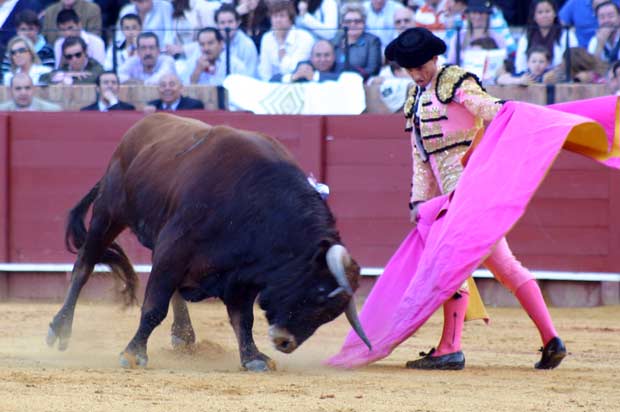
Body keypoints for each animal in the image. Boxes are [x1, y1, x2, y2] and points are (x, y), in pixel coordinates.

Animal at [48, 112, 370, 370]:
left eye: (331, 314)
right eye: (318, 292)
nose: (284, 342)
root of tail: (138, 129)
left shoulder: (241, 275)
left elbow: (243, 318)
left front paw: (253, 358)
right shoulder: (174, 249)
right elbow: (154, 306)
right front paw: (133, 354)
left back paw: (184, 335)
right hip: (108, 214)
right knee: (84, 266)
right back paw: (59, 329)